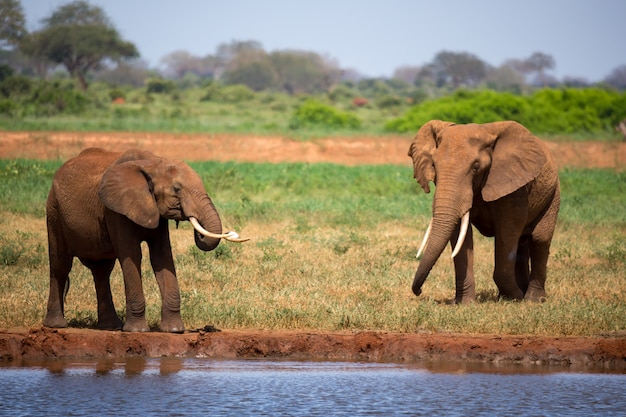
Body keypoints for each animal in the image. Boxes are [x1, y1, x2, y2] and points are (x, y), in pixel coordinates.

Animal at [45, 146, 249, 332]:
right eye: (177, 189)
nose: (232, 233)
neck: (154, 162)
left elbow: (162, 256)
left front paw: (174, 330)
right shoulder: (115, 210)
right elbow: (132, 255)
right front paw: (137, 331)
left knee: (101, 270)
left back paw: (110, 326)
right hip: (54, 211)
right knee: (60, 266)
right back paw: (57, 325)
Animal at [408, 120, 560, 302]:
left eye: (476, 167)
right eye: (434, 165)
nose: (419, 291)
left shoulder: (513, 186)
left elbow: (507, 231)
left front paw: (515, 297)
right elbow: (461, 236)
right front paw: (464, 303)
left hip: (553, 194)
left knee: (539, 239)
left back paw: (532, 299)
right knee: (522, 241)